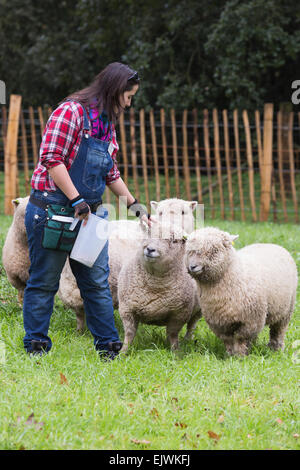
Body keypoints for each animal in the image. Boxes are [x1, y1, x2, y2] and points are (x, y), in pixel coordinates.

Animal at [117, 221, 202, 352]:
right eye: (149, 234)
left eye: (174, 241)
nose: (150, 249)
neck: (154, 284)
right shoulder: (127, 309)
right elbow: (129, 333)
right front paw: (123, 351)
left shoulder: (179, 314)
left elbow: (173, 334)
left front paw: (175, 352)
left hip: (198, 311)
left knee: (191, 325)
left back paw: (187, 340)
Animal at [185, 228, 298, 356]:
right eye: (189, 251)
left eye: (214, 250)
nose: (192, 266)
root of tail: (272, 244)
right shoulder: (219, 321)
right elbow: (228, 339)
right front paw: (229, 354)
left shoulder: (251, 320)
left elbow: (240, 338)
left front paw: (239, 355)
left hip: (286, 310)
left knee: (278, 330)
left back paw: (276, 349)